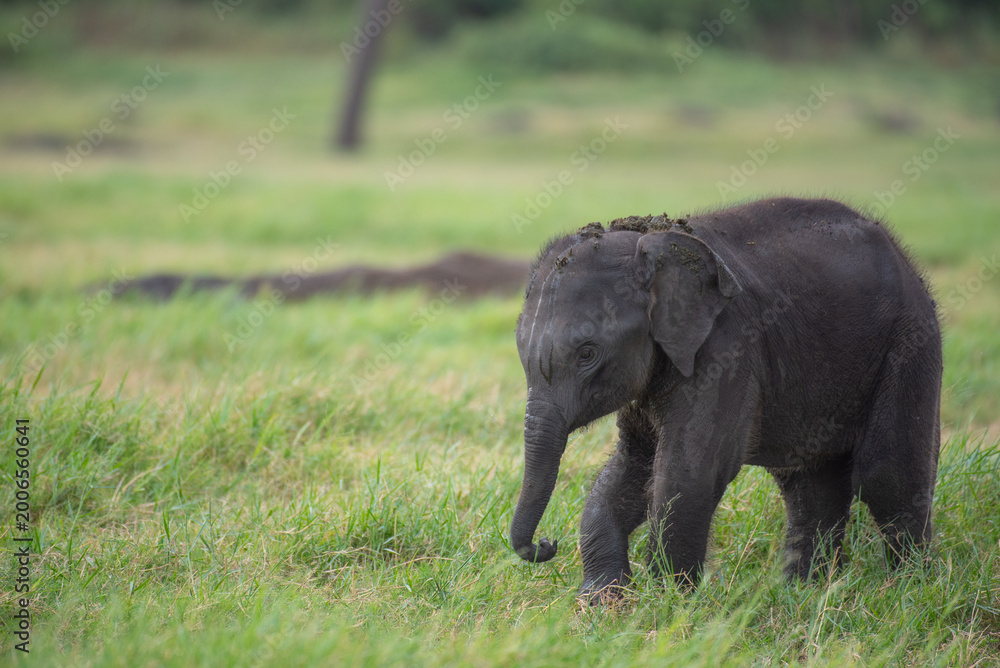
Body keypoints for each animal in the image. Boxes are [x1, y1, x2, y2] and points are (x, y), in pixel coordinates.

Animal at [509, 197, 942, 600]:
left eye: (587, 353)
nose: (546, 544)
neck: (650, 244)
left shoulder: (726, 349)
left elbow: (690, 472)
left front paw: (668, 604)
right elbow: (632, 467)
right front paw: (601, 603)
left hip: (909, 343)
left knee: (887, 473)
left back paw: (909, 589)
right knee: (809, 484)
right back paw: (802, 593)